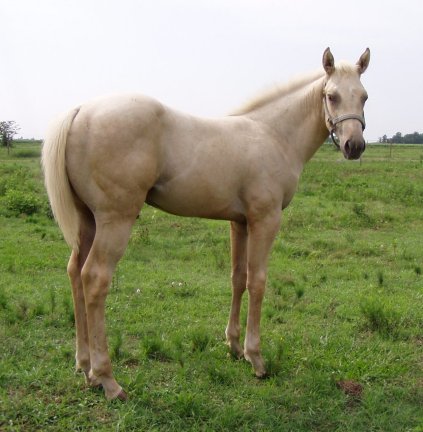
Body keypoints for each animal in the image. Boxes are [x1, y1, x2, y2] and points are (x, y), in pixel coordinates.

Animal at [41, 45, 370, 400]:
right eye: (332, 96)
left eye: (364, 96)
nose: (354, 146)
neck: (273, 134)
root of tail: (80, 111)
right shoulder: (265, 219)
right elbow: (258, 282)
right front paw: (256, 359)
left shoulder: (240, 223)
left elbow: (238, 278)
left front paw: (235, 347)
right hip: (115, 219)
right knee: (94, 278)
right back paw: (108, 380)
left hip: (87, 221)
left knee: (75, 272)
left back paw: (85, 366)